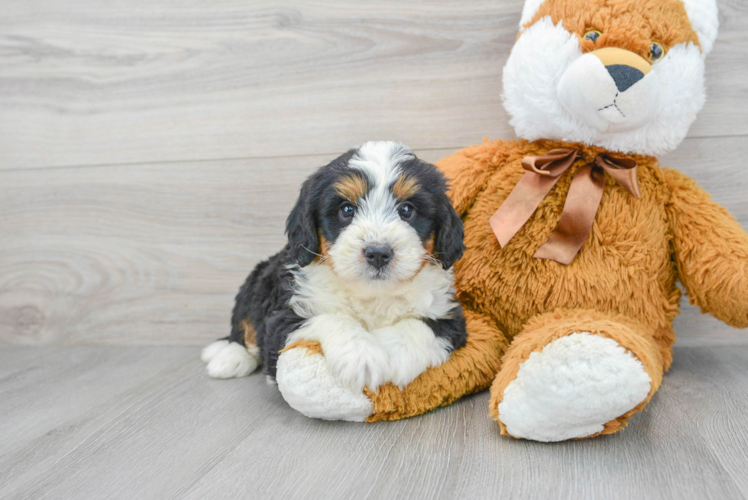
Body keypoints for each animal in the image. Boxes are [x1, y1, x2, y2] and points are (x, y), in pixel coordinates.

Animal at [199, 141, 468, 394]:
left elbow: (421, 325)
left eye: (407, 210)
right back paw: (229, 357)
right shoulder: (282, 319)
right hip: (255, 282)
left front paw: (393, 354)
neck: (371, 294)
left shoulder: (449, 314)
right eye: (346, 209)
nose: (378, 253)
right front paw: (362, 356)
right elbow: (328, 318)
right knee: (243, 326)